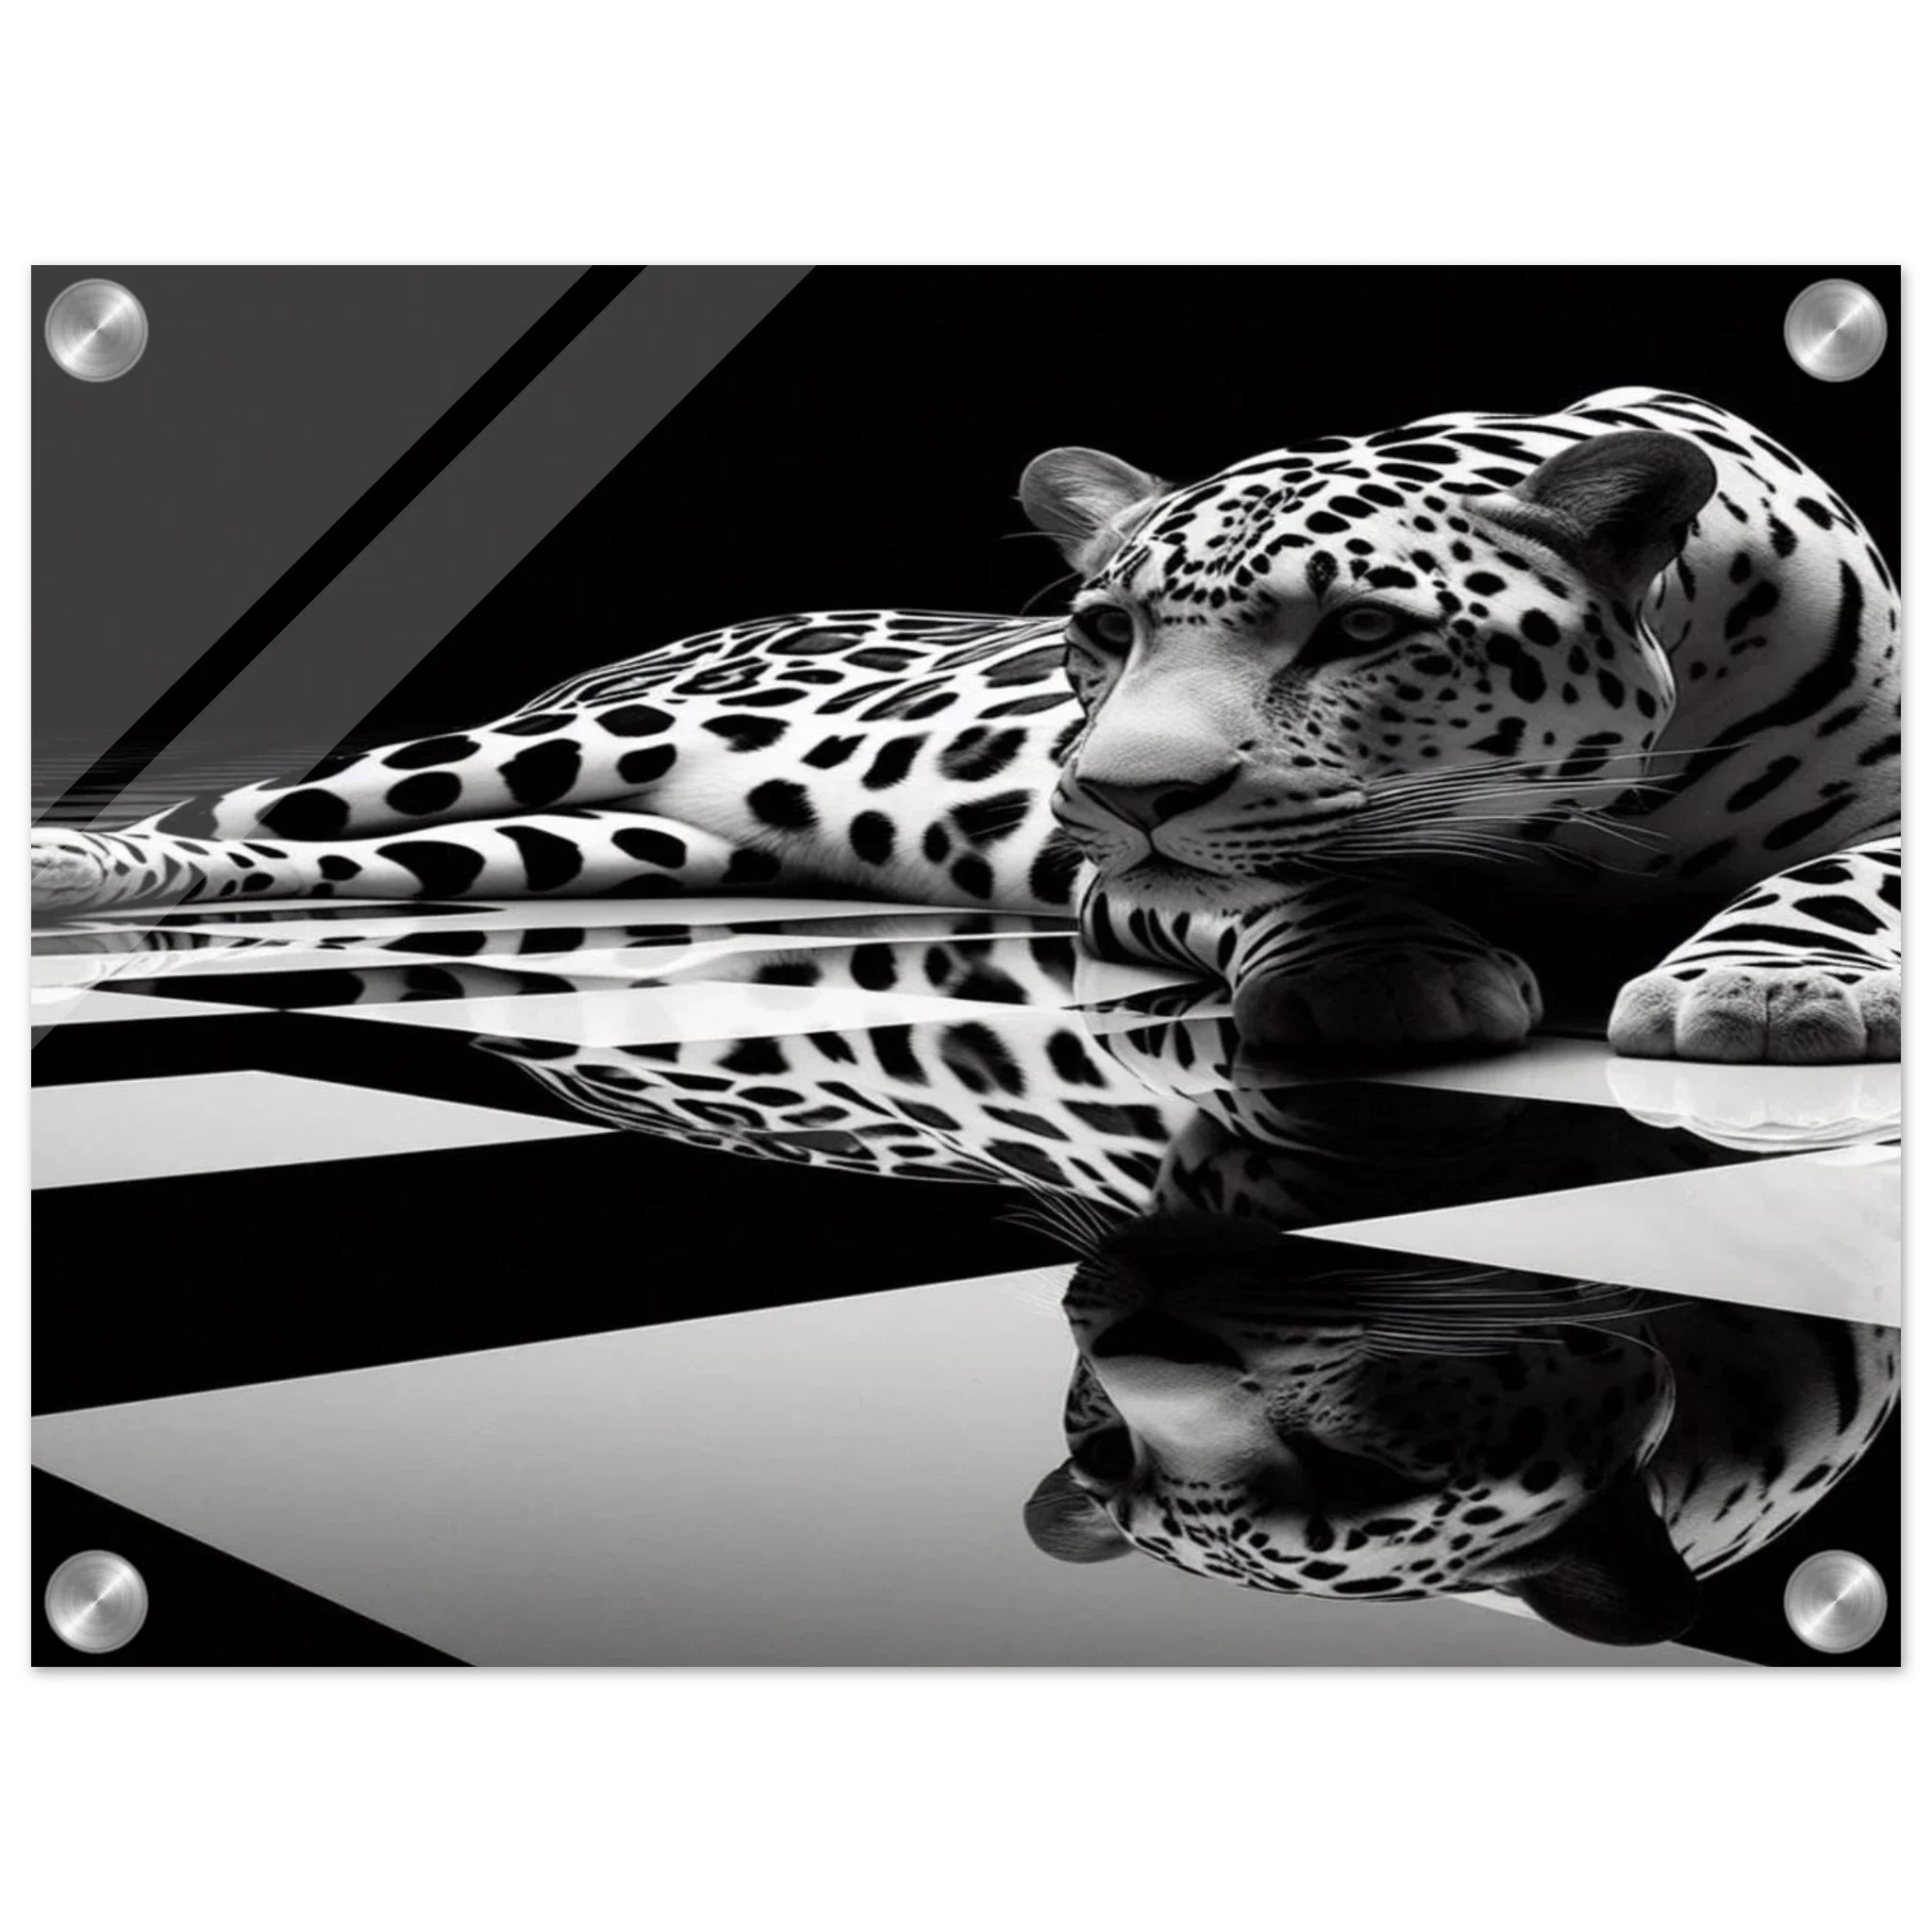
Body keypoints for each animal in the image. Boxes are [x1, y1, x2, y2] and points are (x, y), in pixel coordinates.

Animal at [31, 387, 1902, 1066]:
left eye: (1363, 631)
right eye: (1103, 631)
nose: (1116, 787)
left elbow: (1844, 875)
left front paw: (1769, 984)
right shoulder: (1128, 880)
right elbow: (1283, 877)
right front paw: (1385, 967)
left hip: (580, 838)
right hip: (527, 755)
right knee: (240, 816)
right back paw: (69, 867)